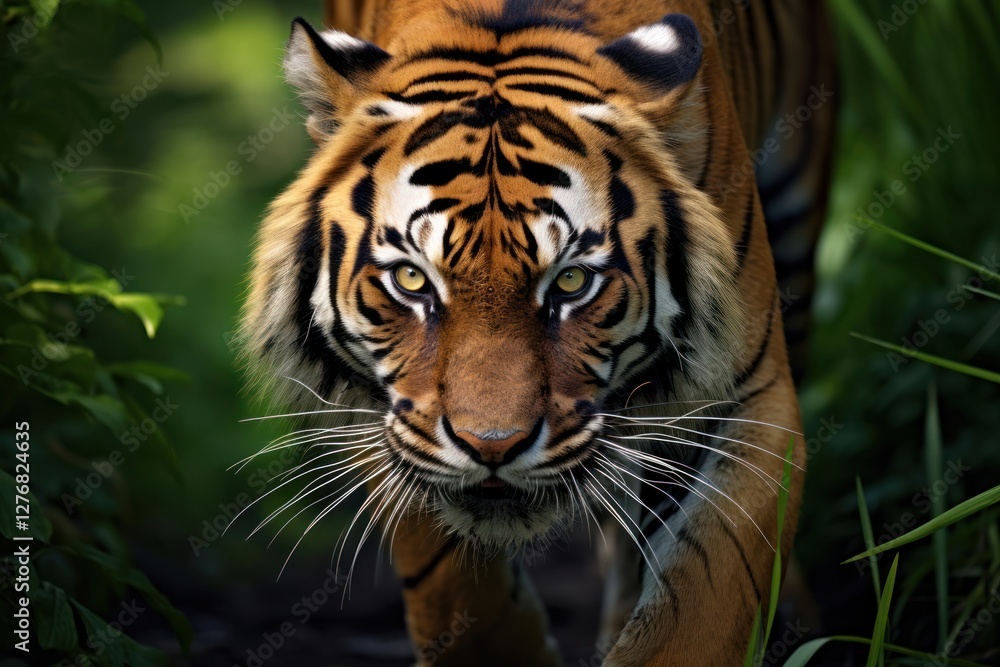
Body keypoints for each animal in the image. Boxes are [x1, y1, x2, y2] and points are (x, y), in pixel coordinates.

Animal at [240, 0, 836, 664]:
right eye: (412, 279)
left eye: (571, 281)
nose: (493, 447)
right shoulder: (386, 417)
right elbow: (461, 596)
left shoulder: (748, 396)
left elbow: (701, 607)